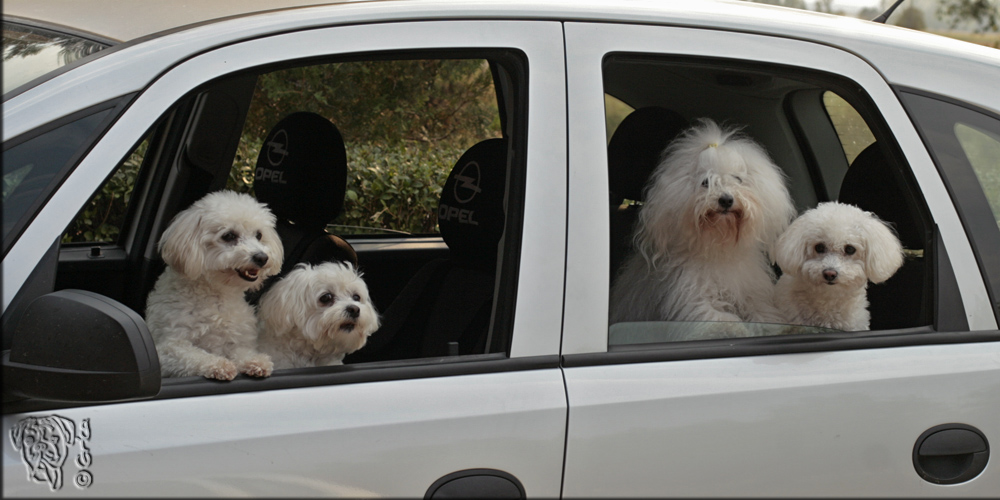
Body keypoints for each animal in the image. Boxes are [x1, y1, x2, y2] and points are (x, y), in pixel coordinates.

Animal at [143, 190, 282, 378]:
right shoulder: (166, 349)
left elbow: (243, 351)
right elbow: (194, 356)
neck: (216, 294)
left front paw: (256, 361)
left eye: (259, 235)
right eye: (229, 236)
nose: (262, 257)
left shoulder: (237, 340)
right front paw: (219, 364)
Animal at [608, 118, 796, 334]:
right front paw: (736, 330)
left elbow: (764, 313)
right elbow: (717, 318)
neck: (718, 247)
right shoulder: (692, 299)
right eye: (706, 181)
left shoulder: (753, 294)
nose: (726, 200)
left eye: (738, 179)